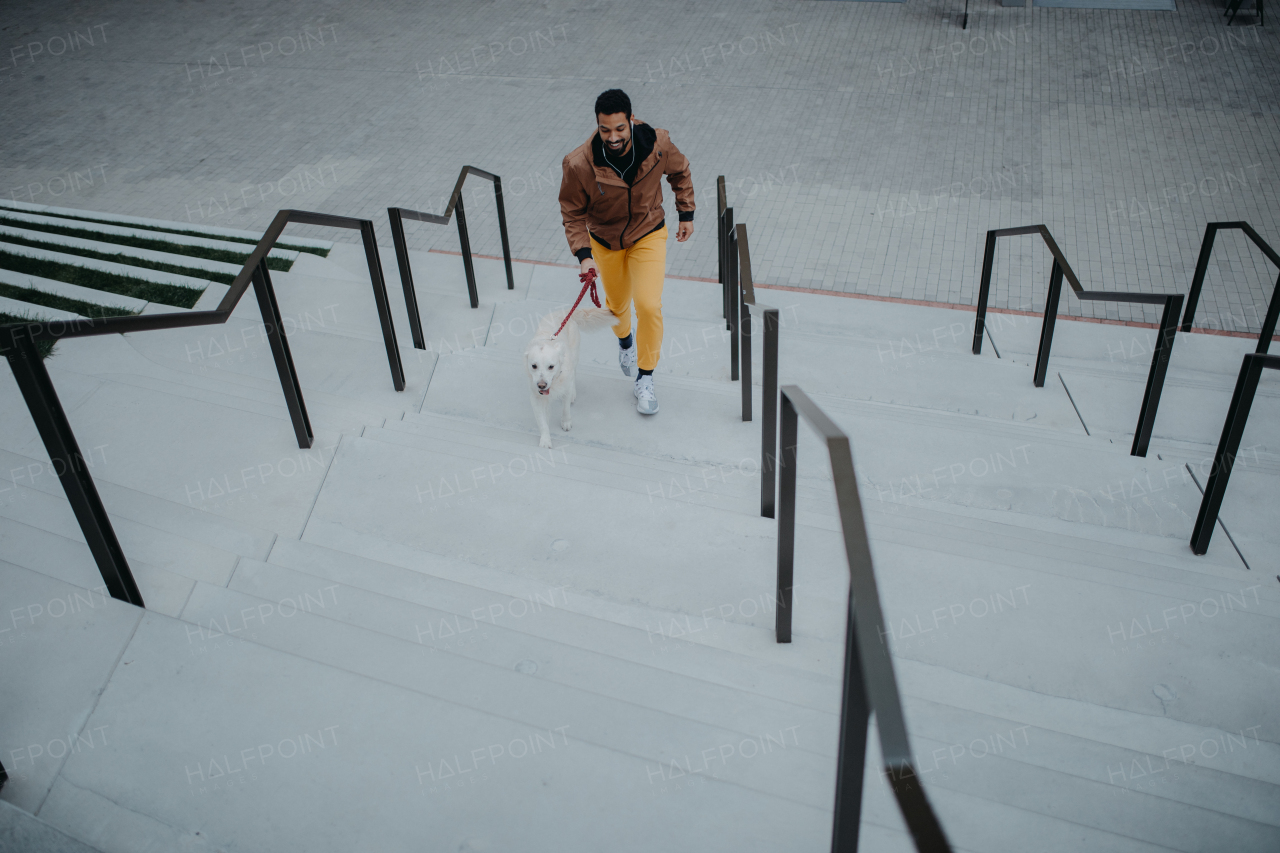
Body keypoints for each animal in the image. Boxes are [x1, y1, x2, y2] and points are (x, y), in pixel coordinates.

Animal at [522, 300, 616, 445]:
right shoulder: (536, 397)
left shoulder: (564, 388)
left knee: (574, 375)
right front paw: (545, 441)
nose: (542, 385)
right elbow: (542, 422)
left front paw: (566, 422)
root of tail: (564, 312)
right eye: (534, 366)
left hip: (575, 355)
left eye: (551, 366)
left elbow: (565, 408)